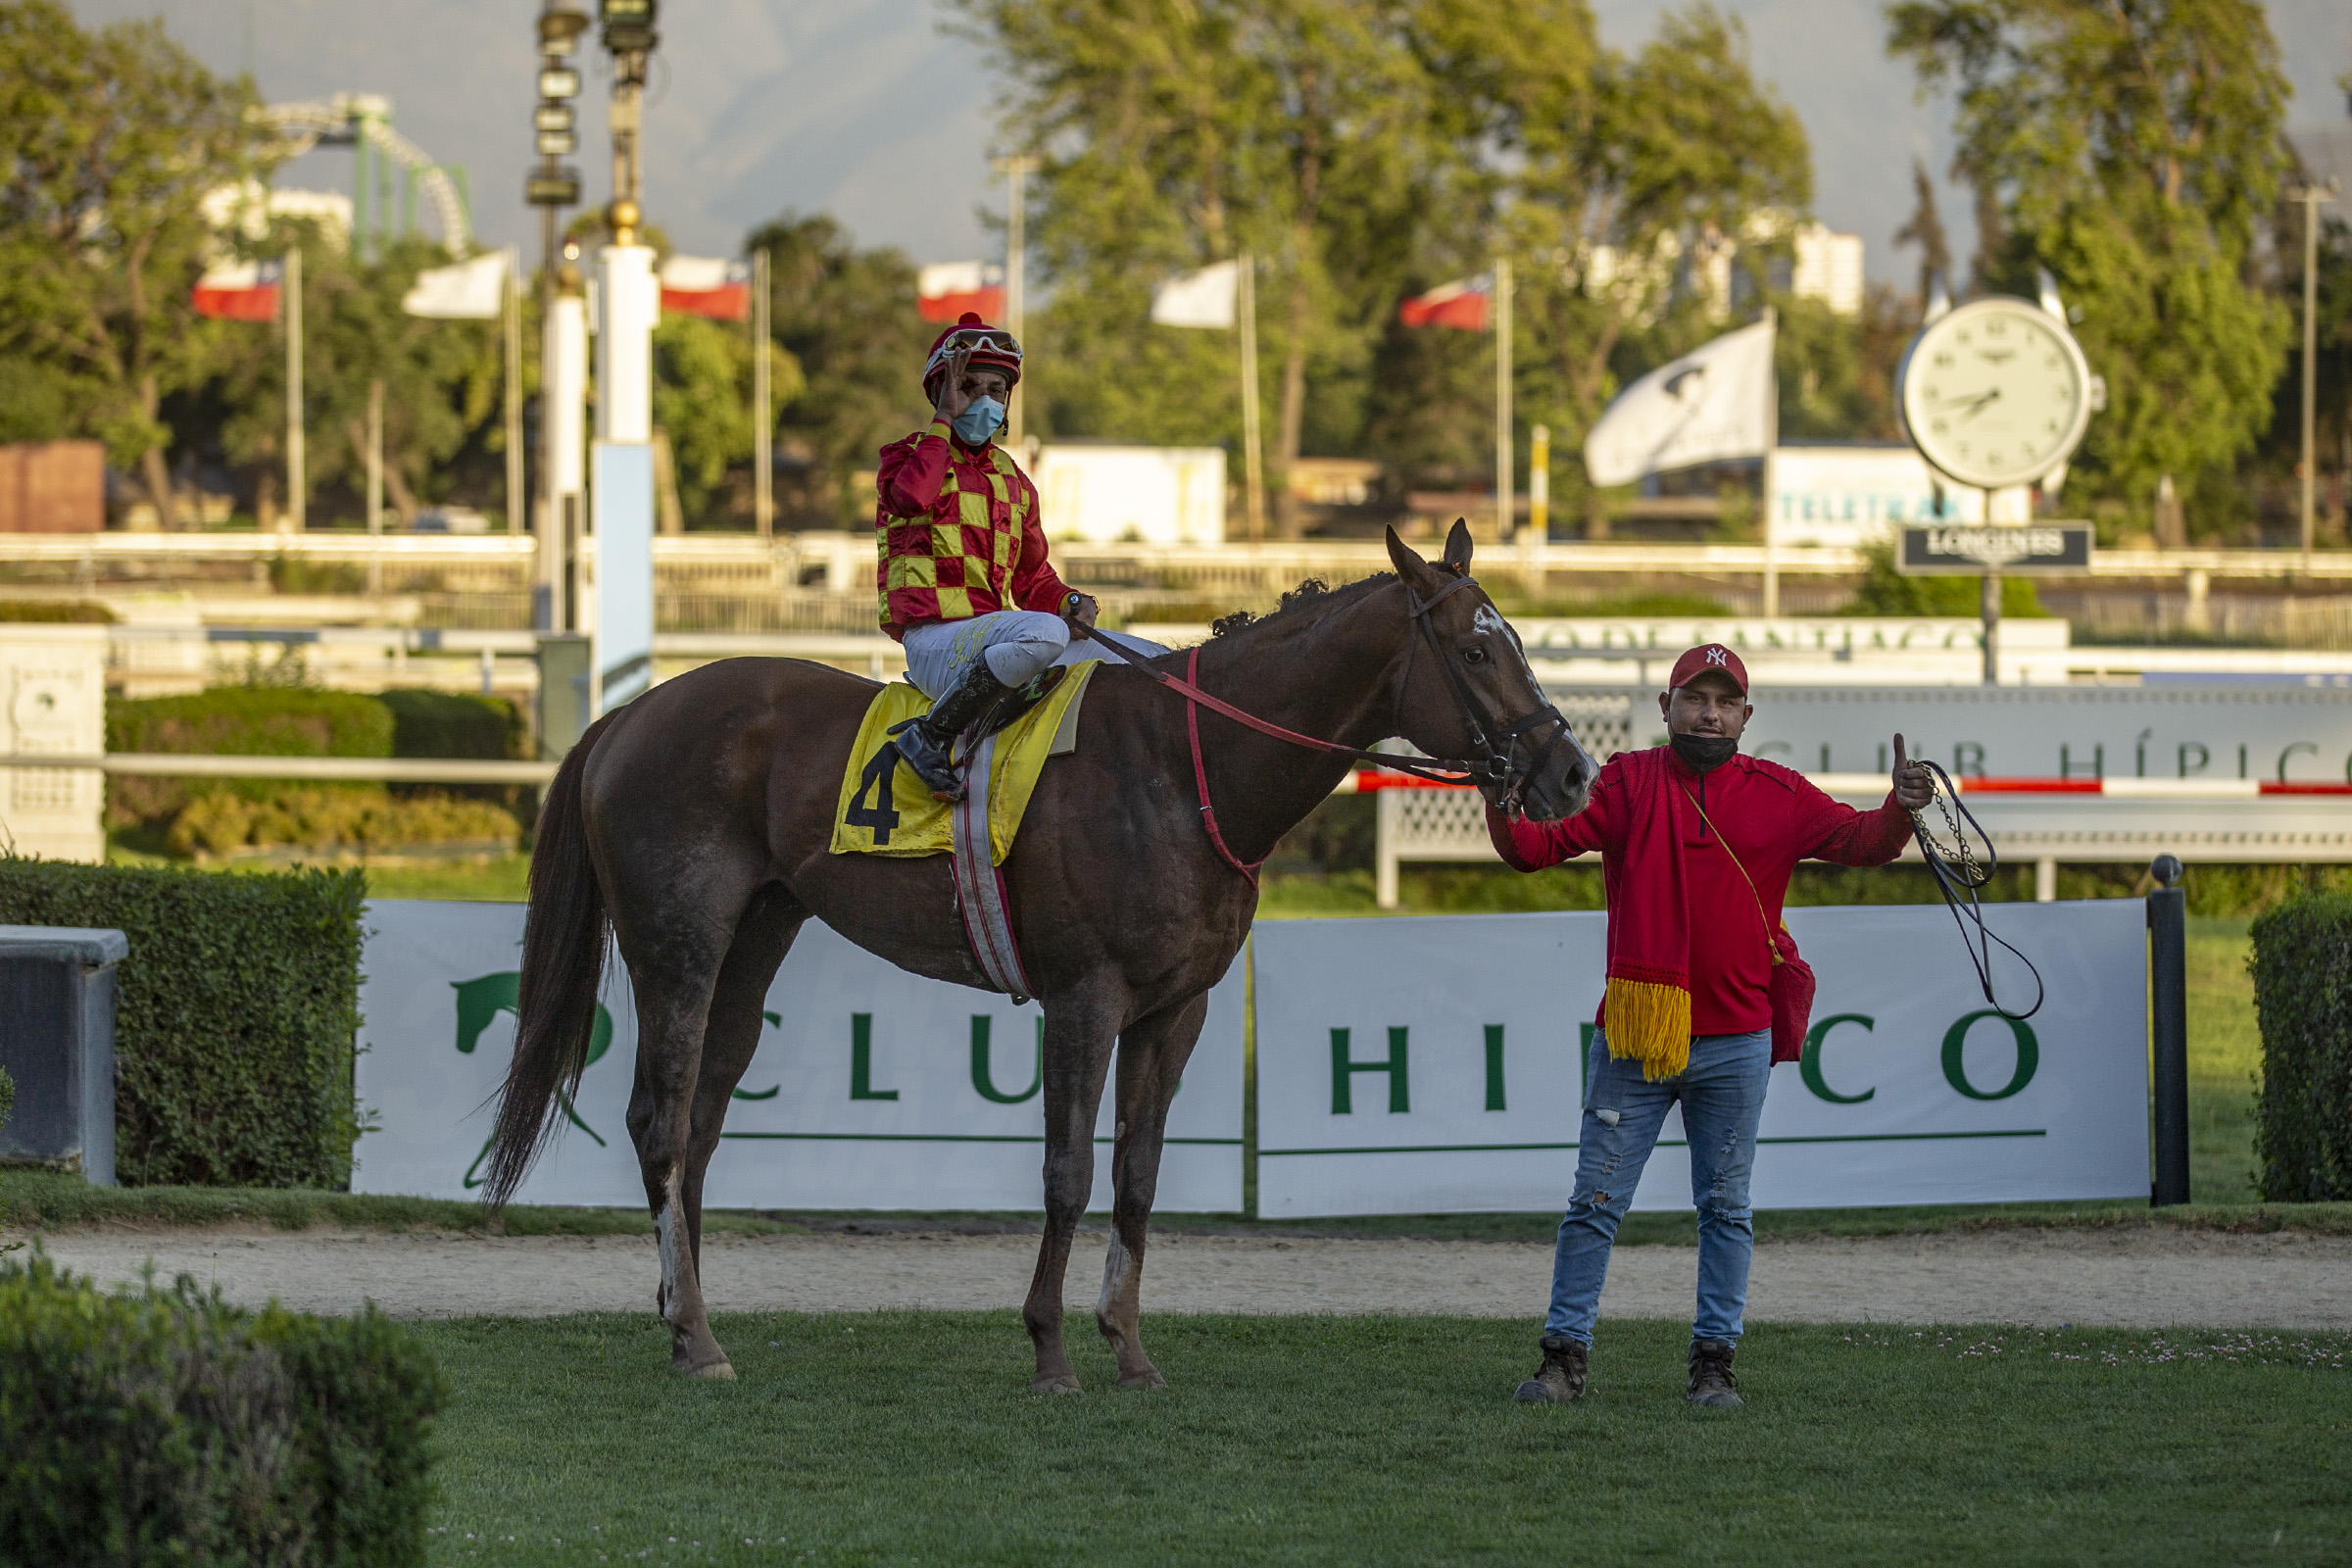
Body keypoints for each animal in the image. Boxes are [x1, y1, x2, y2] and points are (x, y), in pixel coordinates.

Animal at [487, 522, 1595, 1392]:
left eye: (1517, 642)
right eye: (1476, 652)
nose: (1572, 771)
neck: (1183, 768)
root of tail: (633, 710)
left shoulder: (1179, 1008)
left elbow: (1138, 1176)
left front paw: (1130, 1350)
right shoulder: (1084, 996)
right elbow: (1068, 1172)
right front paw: (1052, 1351)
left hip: (757, 940)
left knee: (703, 1126)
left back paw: (693, 1325)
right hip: (678, 942)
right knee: (660, 1120)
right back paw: (691, 1330)